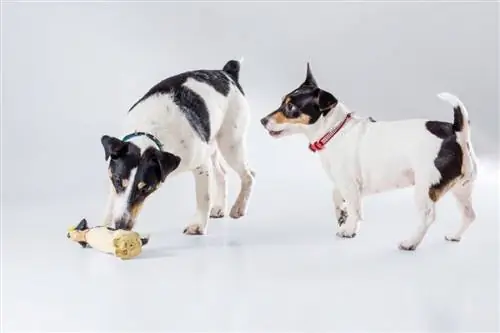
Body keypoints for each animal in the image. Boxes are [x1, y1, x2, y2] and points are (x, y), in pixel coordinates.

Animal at [98, 60, 254, 236]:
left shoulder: (201, 166)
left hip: (231, 144)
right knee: (222, 173)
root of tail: (226, 73)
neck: (150, 130)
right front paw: (104, 225)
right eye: (118, 181)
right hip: (213, 143)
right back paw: (220, 207)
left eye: (146, 189)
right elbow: (112, 201)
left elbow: (204, 196)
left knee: (249, 175)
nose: (121, 225)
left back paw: (239, 207)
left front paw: (197, 225)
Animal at [260, 63, 478, 249]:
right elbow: (339, 197)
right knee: (470, 215)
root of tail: (457, 132)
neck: (334, 131)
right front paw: (342, 215)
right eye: (282, 102)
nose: (262, 120)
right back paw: (455, 236)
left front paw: (348, 229)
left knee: (427, 217)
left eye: (290, 107)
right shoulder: (351, 184)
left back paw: (410, 243)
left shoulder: (349, 183)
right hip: (462, 189)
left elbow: (355, 209)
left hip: (425, 187)